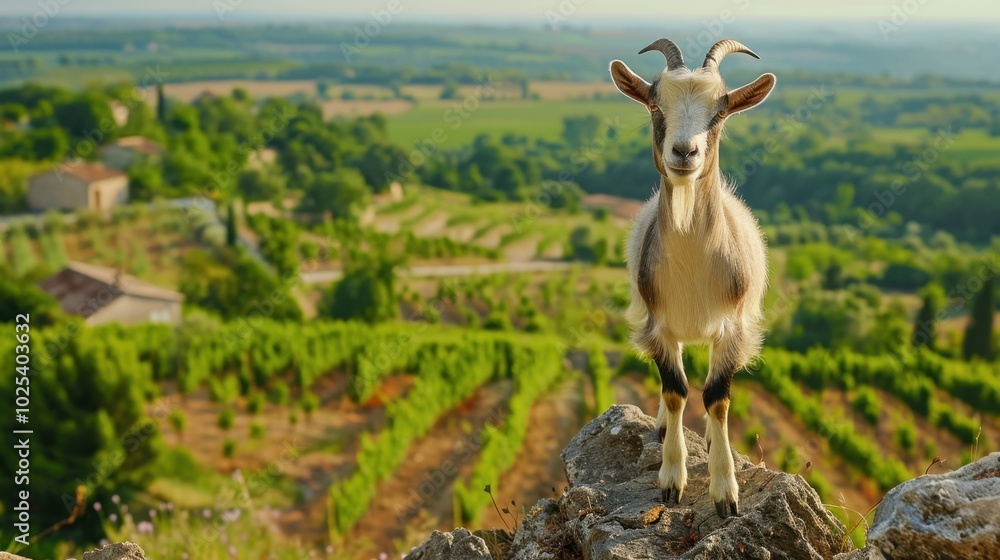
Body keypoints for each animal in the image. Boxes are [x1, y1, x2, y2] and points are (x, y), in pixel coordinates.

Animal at [608, 39, 772, 520]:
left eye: (720, 110)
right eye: (654, 105)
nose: (684, 152)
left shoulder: (733, 329)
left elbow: (716, 396)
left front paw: (726, 491)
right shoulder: (658, 326)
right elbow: (676, 391)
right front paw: (670, 480)